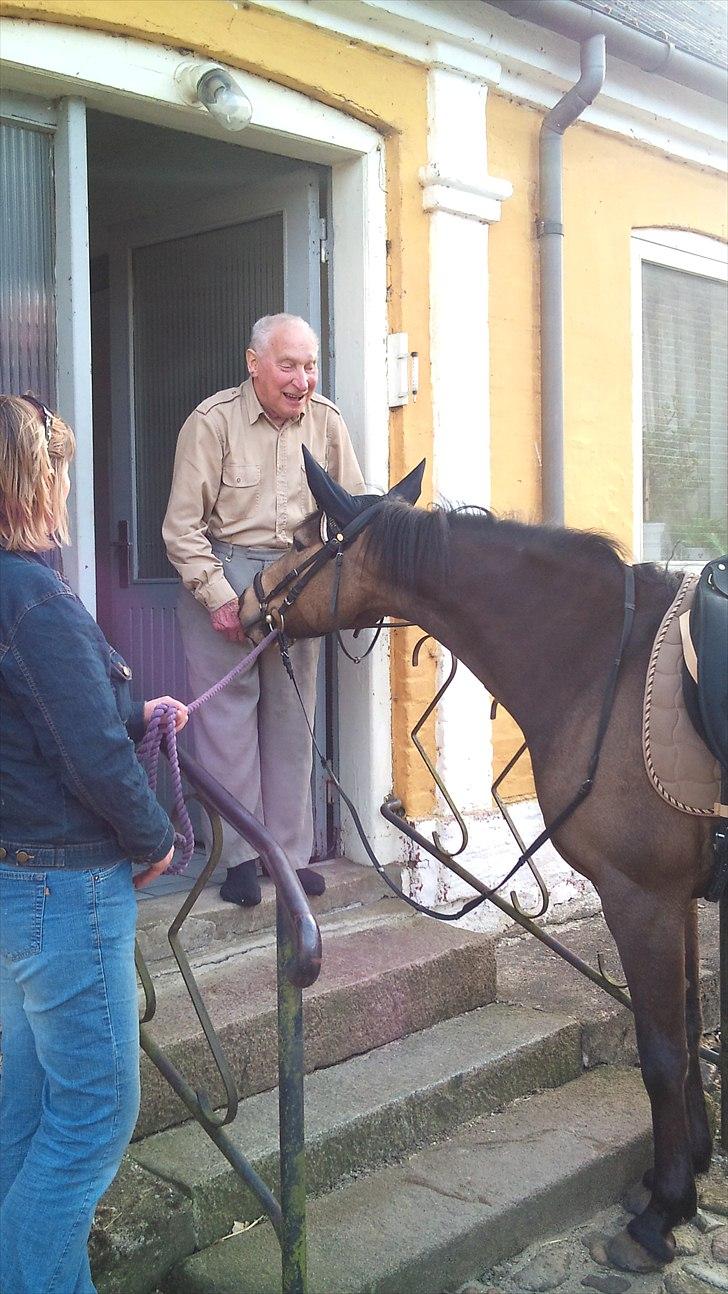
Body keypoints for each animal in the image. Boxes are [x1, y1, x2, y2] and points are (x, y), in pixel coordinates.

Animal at [240, 452, 718, 1262]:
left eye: (307, 540)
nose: (246, 602)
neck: (606, 669)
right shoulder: (676, 897)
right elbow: (686, 1028)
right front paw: (681, 1175)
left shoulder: (642, 897)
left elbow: (659, 1052)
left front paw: (663, 1215)